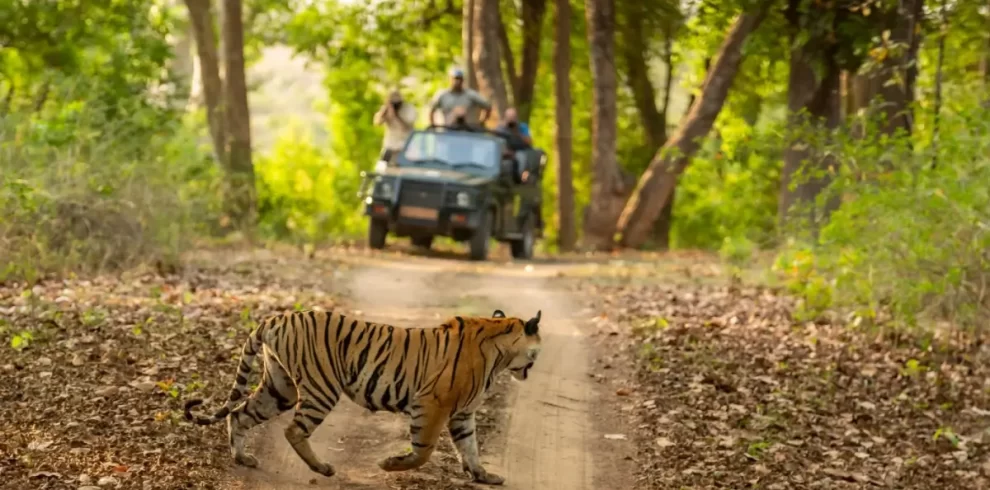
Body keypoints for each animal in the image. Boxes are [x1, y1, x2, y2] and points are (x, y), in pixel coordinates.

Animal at [183, 307, 542, 486]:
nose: (535, 364)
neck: (500, 352)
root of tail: (275, 318)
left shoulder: (463, 413)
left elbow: (470, 447)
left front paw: (484, 476)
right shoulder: (431, 404)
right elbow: (423, 451)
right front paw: (390, 464)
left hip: (279, 386)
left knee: (240, 413)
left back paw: (242, 458)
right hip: (321, 387)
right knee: (293, 429)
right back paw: (322, 468)